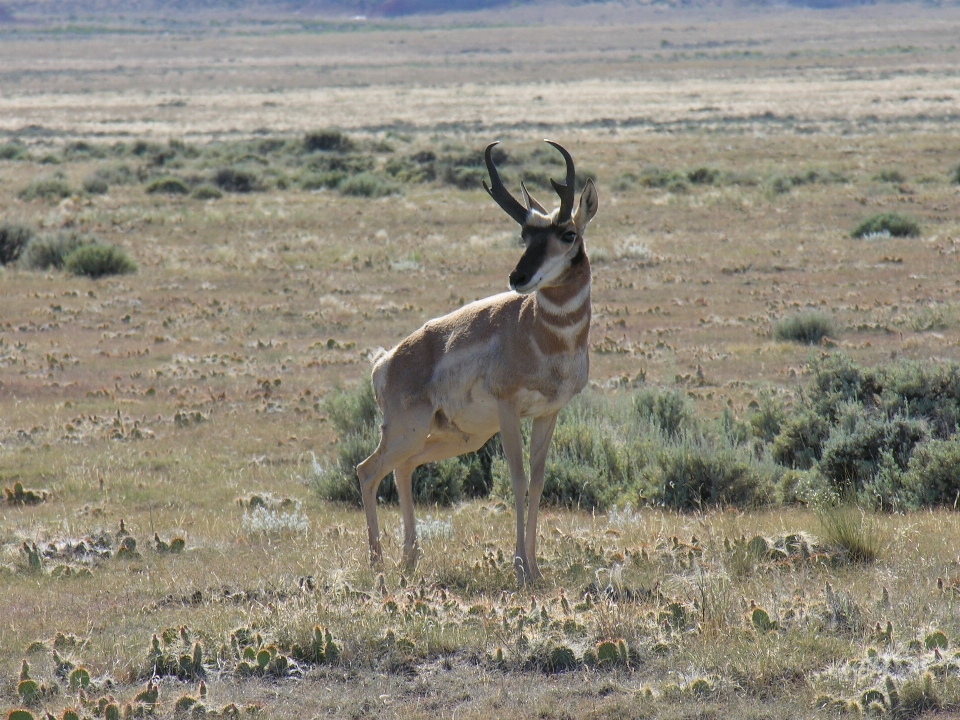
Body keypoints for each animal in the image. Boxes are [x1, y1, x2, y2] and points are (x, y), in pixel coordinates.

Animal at [356, 141, 596, 584]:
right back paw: (378, 564)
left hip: (453, 438)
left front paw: (537, 569)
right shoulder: (508, 409)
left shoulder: (548, 413)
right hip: (408, 430)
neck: (541, 334)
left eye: (567, 234)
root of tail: (387, 359)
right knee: (368, 469)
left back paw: (409, 558)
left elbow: (538, 481)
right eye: (524, 234)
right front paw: (520, 567)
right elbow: (517, 478)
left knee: (402, 468)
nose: (519, 278)